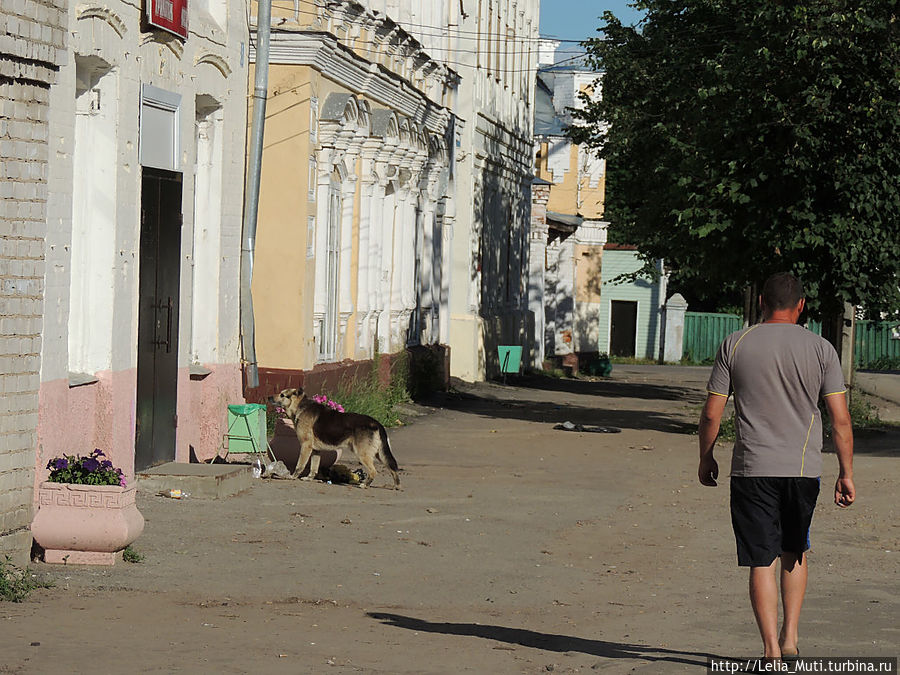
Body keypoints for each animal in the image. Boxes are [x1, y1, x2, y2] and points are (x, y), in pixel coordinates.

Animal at [268, 388, 402, 488]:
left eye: (282, 395)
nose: (269, 397)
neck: (300, 406)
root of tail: (377, 424)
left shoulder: (306, 447)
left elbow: (299, 465)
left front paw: (293, 477)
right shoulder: (315, 451)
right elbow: (313, 468)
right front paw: (309, 478)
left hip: (362, 454)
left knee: (374, 471)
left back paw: (364, 485)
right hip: (380, 454)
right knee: (393, 468)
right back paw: (396, 486)